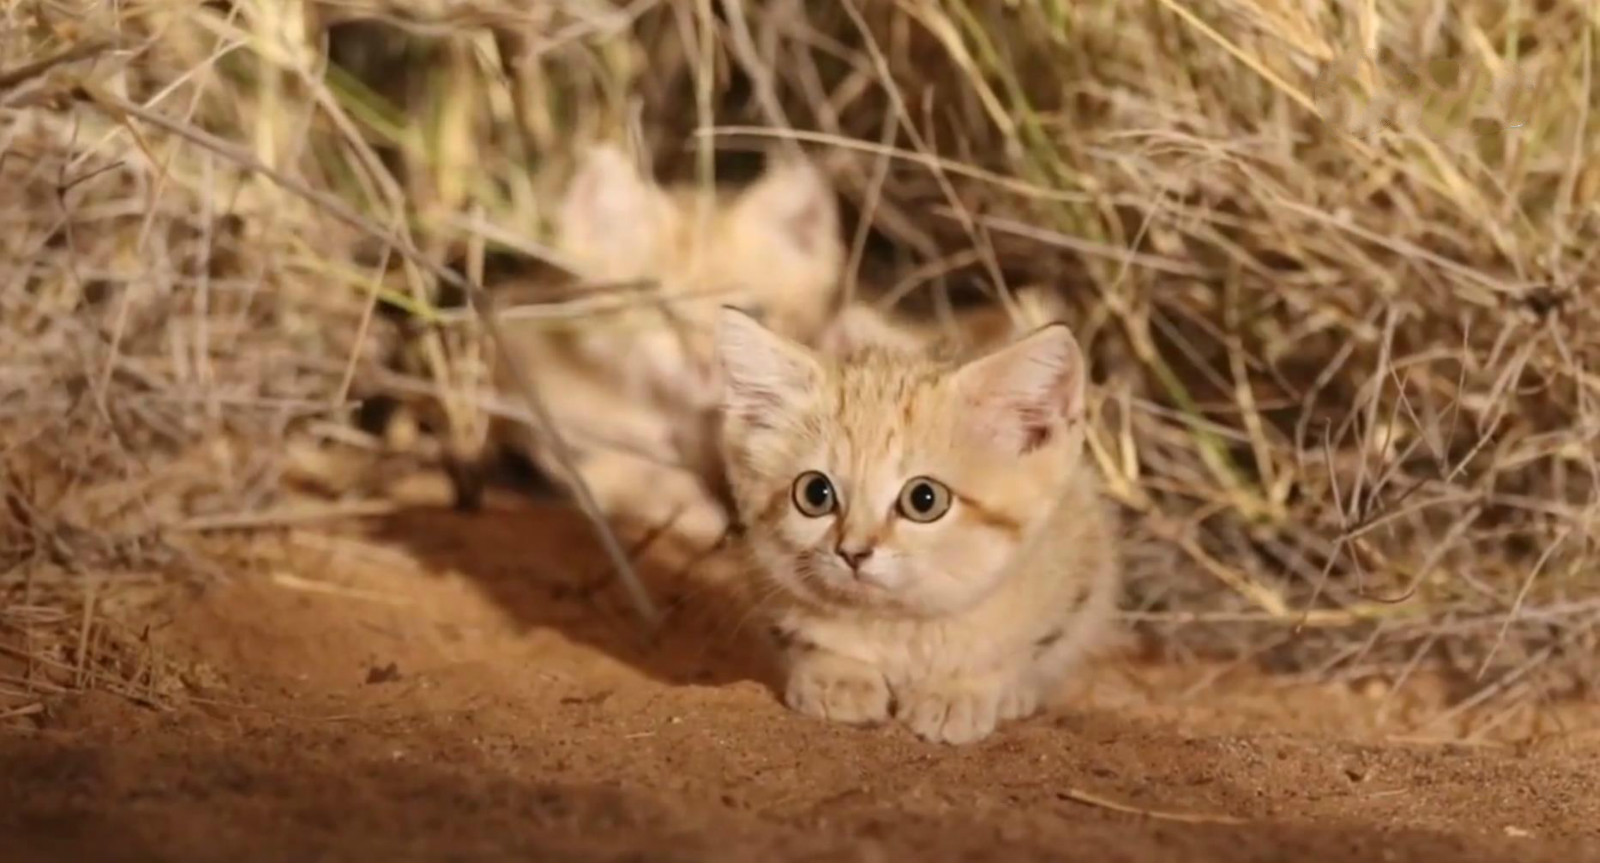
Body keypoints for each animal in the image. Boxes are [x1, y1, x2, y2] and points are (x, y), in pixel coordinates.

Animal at [720, 307, 1120, 746]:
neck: (900, 627)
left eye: (924, 499)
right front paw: (839, 676)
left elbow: (1017, 650)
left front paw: (958, 690)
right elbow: (809, 639)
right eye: (815, 493)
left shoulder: (1076, 573)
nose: (852, 552)